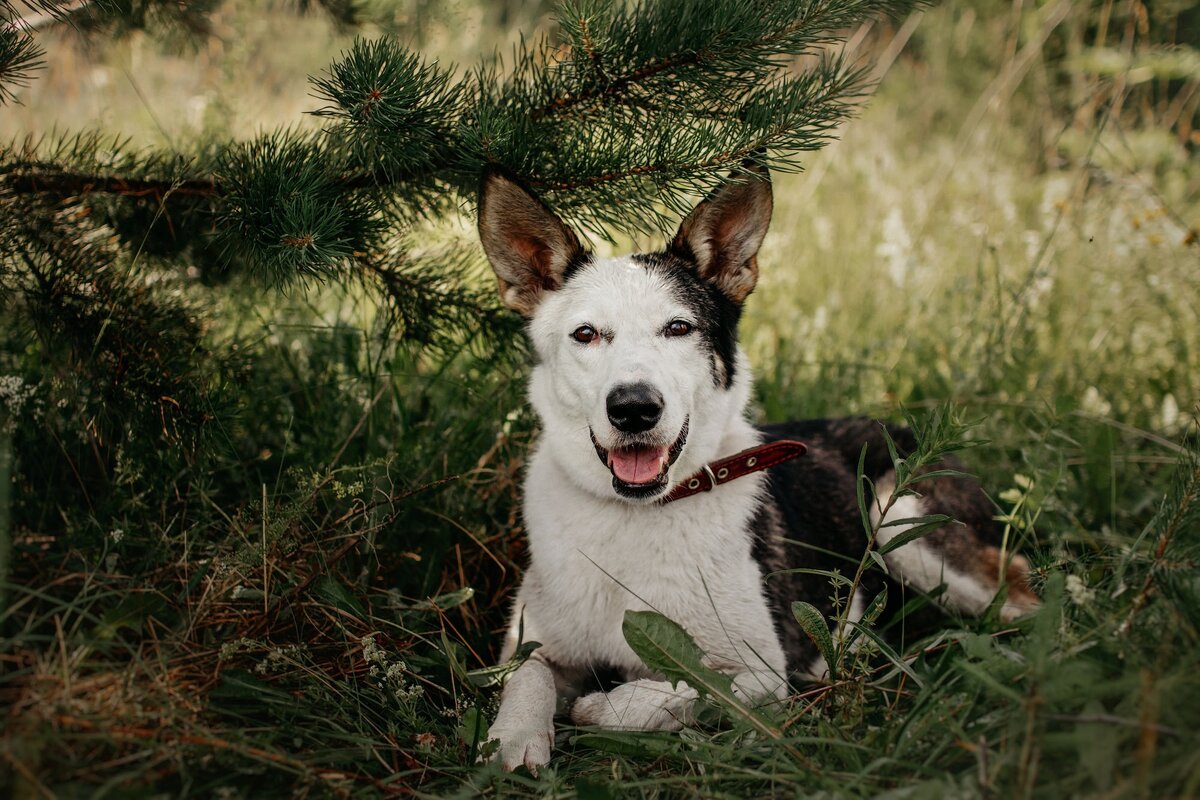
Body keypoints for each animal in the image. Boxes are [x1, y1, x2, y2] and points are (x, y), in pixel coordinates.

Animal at [472, 159, 1036, 772]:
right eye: (585, 334)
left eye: (678, 327)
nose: (634, 408)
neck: (634, 516)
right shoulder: (533, 642)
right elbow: (526, 676)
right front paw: (513, 737)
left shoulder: (766, 667)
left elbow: (687, 689)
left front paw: (605, 706)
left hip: (900, 514)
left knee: (1023, 600)